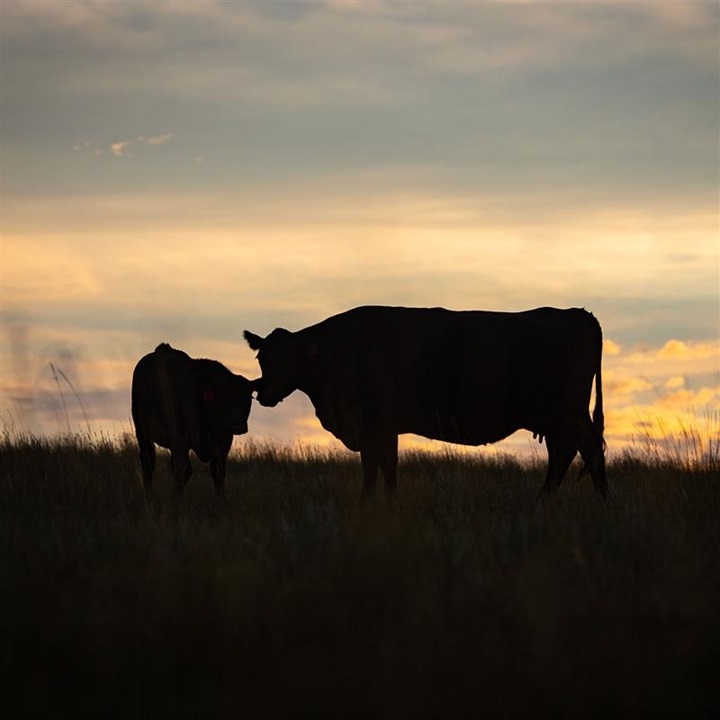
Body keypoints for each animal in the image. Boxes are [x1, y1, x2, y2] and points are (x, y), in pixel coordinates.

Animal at [133, 344, 256, 496]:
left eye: (249, 398)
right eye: (224, 397)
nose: (238, 426)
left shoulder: (224, 440)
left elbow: (218, 472)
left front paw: (221, 499)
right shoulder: (180, 436)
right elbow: (183, 470)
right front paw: (176, 498)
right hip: (142, 431)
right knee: (148, 461)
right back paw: (149, 494)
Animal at [243, 306, 608, 498]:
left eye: (288, 358)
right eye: (262, 358)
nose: (264, 395)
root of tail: (580, 315)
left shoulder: (372, 423)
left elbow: (373, 466)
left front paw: (368, 503)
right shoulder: (385, 427)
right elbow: (387, 466)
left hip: (567, 413)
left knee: (585, 449)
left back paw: (598, 501)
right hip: (556, 418)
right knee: (565, 453)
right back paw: (547, 500)